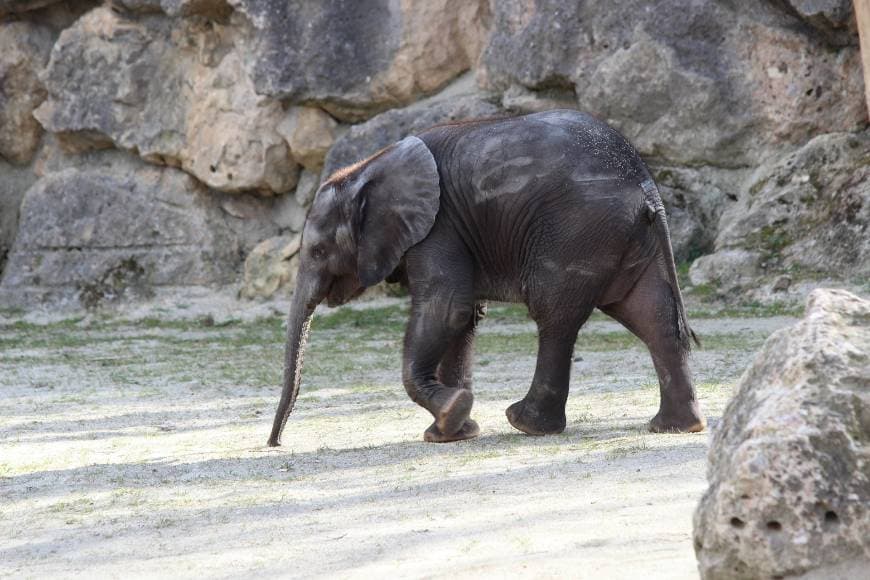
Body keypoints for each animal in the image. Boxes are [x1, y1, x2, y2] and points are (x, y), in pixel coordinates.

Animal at [268, 110, 708, 448]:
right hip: (623, 237)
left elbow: (448, 306)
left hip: (578, 230)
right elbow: (464, 317)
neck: (368, 168)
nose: (274, 444)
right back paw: (675, 426)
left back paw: (526, 423)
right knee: (652, 316)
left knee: (555, 317)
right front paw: (452, 432)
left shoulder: (438, 227)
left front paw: (452, 414)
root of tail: (644, 185)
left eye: (317, 252)